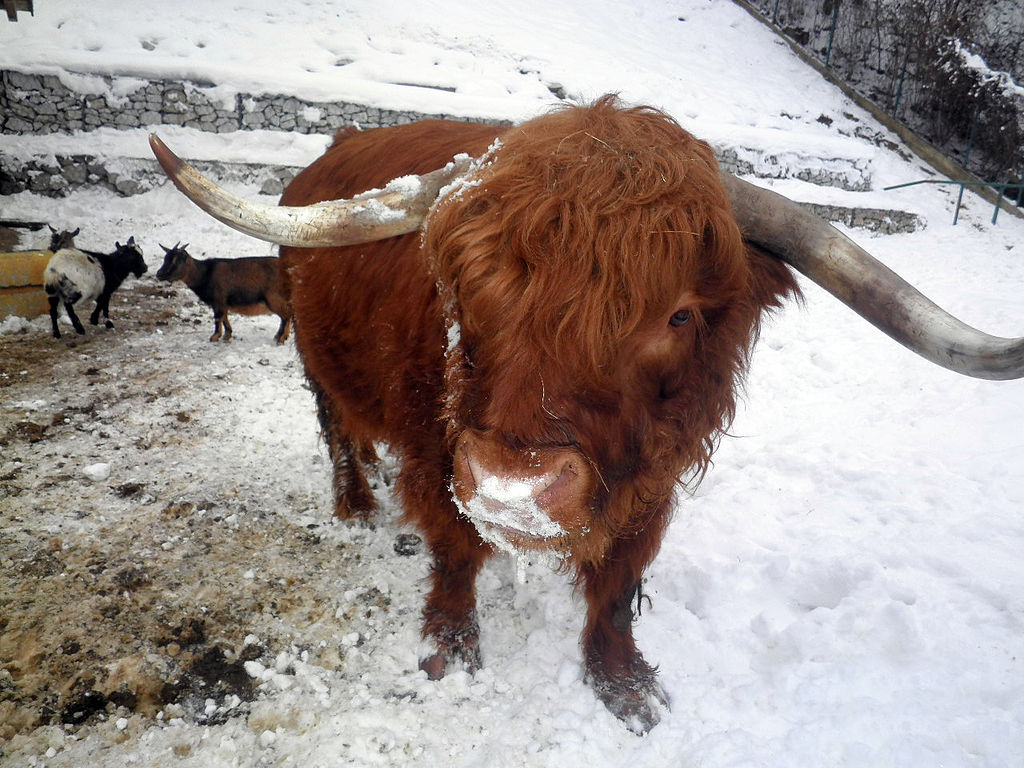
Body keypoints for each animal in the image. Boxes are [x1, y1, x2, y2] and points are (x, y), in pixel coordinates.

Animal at [149, 96, 1024, 733]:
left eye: (678, 315)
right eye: (464, 288)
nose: (514, 486)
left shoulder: (652, 485)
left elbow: (618, 582)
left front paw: (626, 684)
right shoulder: (439, 457)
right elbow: (454, 552)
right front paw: (449, 650)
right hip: (314, 356)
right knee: (334, 427)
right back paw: (358, 501)